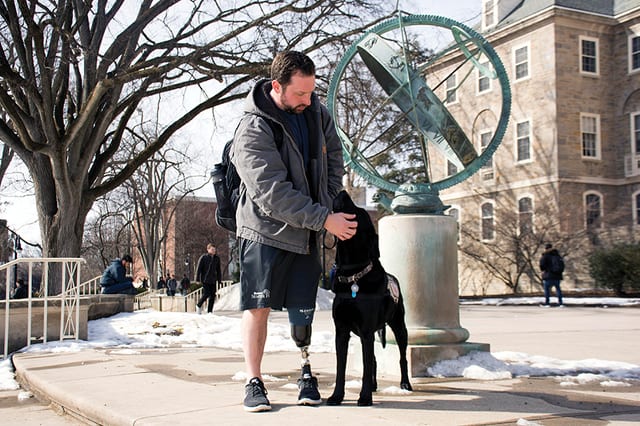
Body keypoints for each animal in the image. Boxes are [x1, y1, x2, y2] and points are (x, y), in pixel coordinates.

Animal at [328, 190, 412, 406]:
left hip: (399, 326)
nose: (342, 191)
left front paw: (365, 397)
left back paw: (405, 384)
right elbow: (341, 367)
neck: (352, 274)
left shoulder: (366, 329)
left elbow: (365, 366)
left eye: (359, 212)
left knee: (401, 357)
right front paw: (336, 396)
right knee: (373, 359)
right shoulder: (342, 331)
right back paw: (374, 386)